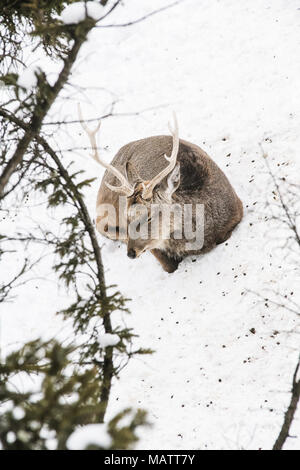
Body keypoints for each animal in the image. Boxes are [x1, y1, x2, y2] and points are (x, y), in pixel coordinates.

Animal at [78, 103, 243, 272]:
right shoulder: (155, 248)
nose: (131, 253)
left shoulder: (238, 209)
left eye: (150, 216)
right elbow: (169, 266)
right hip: (103, 213)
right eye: (127, 217)